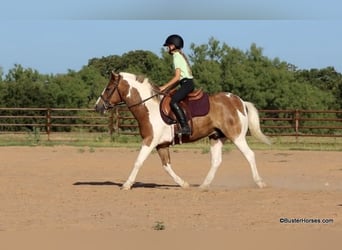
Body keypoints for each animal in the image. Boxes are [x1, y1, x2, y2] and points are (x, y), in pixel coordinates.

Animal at [95, 71, 272, 190]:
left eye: (109, 88)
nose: (97, 106)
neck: (149, 107)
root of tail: (238, 101)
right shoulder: (161, 145)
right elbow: (166, 166)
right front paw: (183, 184)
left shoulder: (149, 141)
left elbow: (138, 161)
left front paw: (126, 184)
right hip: (216, 137)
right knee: (216, 161)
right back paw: (204, 185)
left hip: (236, 136)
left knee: (250, 155)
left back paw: (260, 182)